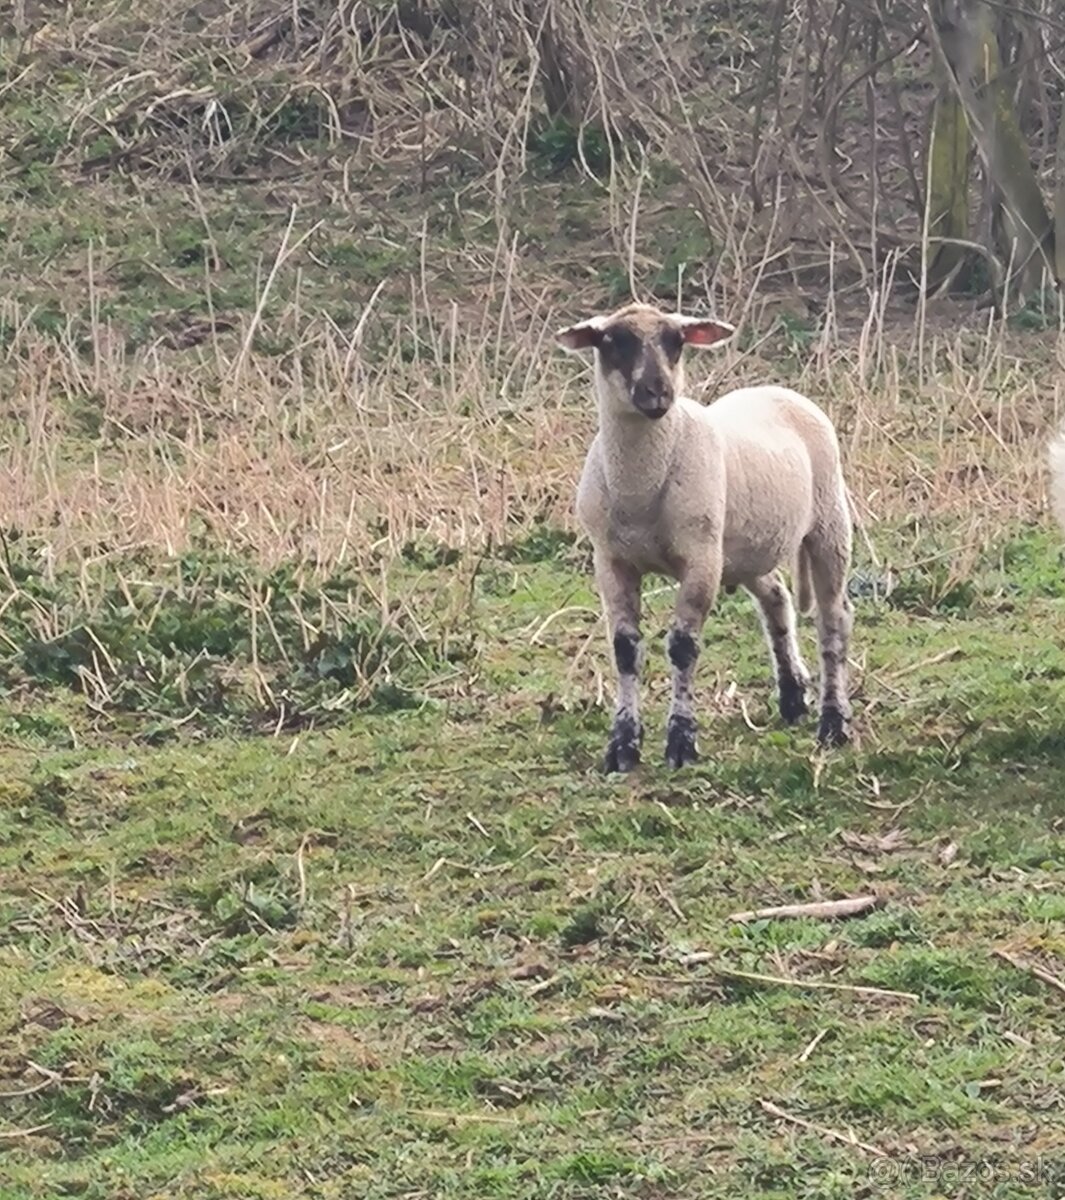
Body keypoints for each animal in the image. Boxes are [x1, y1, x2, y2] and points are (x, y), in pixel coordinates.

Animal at [561, 304, 853, 772]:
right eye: (611, 342)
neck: (641, 488)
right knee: (777, 599)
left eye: (676, 342)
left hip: (828, 524)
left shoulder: (700, 560)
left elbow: (683, 647)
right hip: (744, 548)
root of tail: (779, 391)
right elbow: (624, 649)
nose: (657, 392)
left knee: (834, 620)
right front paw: (622, 746)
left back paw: (834, 723)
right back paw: (792, 697)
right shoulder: (611, 561)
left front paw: (681, 741)